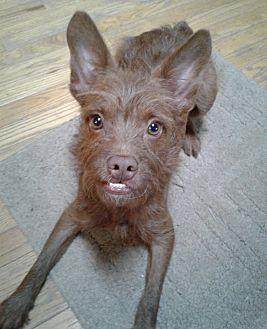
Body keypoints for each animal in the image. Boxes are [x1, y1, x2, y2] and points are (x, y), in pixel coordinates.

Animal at [0, 10, 218, 328]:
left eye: (155, 127)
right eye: (96, 120)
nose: (122, 166)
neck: (118, 208)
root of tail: (176, 29)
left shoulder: (164, 234)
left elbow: (151, 295)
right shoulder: (71, 216)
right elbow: (40, 263)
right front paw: (16, 305)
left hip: (206, 93)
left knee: (192, 114)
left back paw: (189, 135)